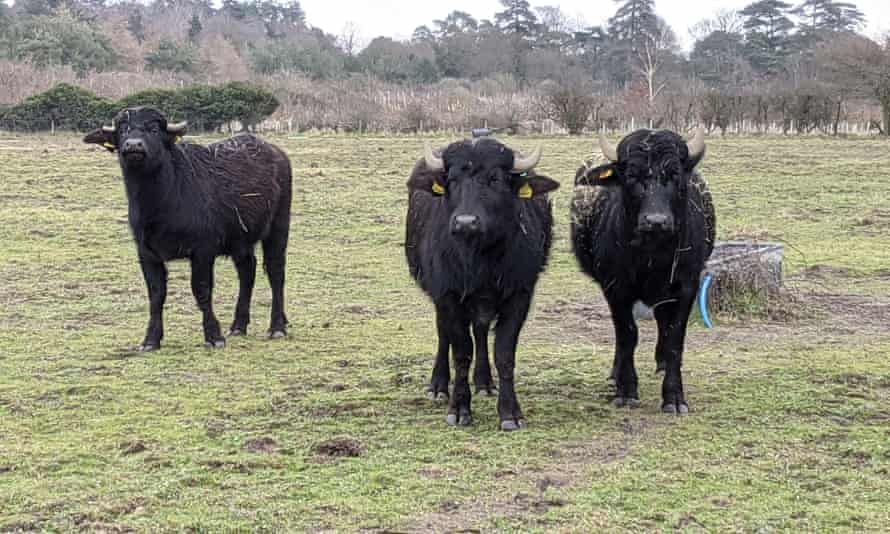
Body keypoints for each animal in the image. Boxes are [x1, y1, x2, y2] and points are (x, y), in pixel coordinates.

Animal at [83, 107, 292, 354]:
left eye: (153, 129)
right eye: (123, 129)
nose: (134, 146)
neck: (159, 203)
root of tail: (277, 153)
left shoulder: (202, 251)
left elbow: (201, 290)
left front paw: (214, 336)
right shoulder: (146, 254)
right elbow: (156, 294)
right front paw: (150, 340)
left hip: (279, 226)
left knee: (276, 272)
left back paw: (277, 326)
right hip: (240, 240)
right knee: (247, 271)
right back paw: (238, 326)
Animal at [568, 129, 716, 414]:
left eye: (675, 175)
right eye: (631, 176)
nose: (656, 221)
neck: (653, 256)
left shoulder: (686, 287)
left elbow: (674, 339)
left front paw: (674, 397)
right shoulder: (615, 289)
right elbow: (628, 335)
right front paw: (626, 390)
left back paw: (661, 365)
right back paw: (615, 374)